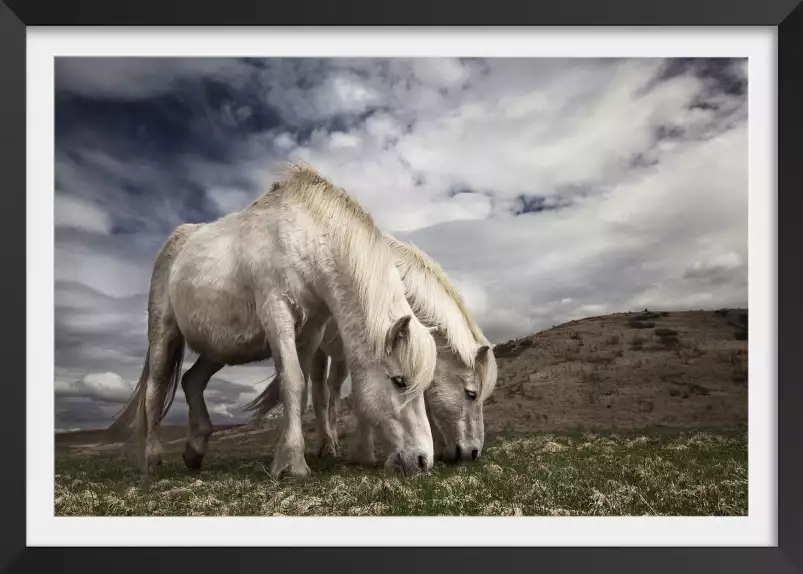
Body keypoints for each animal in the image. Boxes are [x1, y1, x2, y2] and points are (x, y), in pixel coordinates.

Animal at [109, 164, 436, 480]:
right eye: (399, 381)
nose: (423, 461)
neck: (304, 239)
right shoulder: (277, 314)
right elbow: (291, 381)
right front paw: (293, 463)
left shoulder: (311, 332)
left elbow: (301, 389)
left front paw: (288, 455)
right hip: (163, 335)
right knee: (155, 389)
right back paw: (152, 459)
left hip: (218, 350)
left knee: (192, 381)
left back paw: (195, 450)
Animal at [247, 232, 496, 466]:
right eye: (472, 394)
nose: (474, 452)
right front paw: (365, 454)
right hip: (317, 349)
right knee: (319, 391)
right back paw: (324, 446)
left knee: (333, 390)